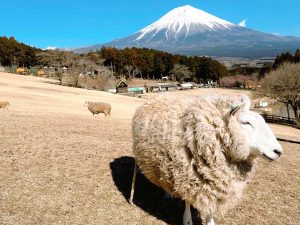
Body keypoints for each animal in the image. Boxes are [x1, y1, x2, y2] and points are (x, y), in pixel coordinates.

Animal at [130, 93, 282, 225]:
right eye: (246, 123)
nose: (279, 151)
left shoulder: (214, 183)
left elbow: (210, 206)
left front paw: (210, 221)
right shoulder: (187, 176)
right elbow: (188, 201)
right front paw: (187, 220)